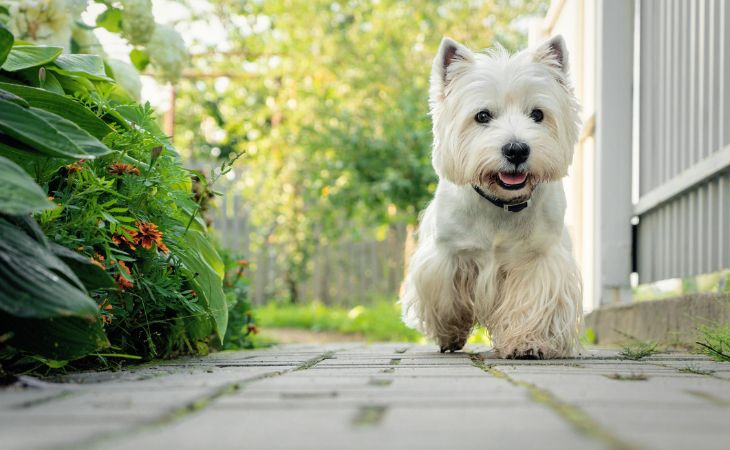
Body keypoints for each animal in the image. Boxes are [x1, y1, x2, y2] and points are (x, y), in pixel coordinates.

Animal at [398, 35, 580, 358]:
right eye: (482, 116)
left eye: (538, 114)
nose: (517, 150)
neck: (501, 204)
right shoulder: (447, 256)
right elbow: (447, 299)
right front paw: (450, 332)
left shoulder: (538, 258)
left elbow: (532, 302)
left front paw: (527, 342)